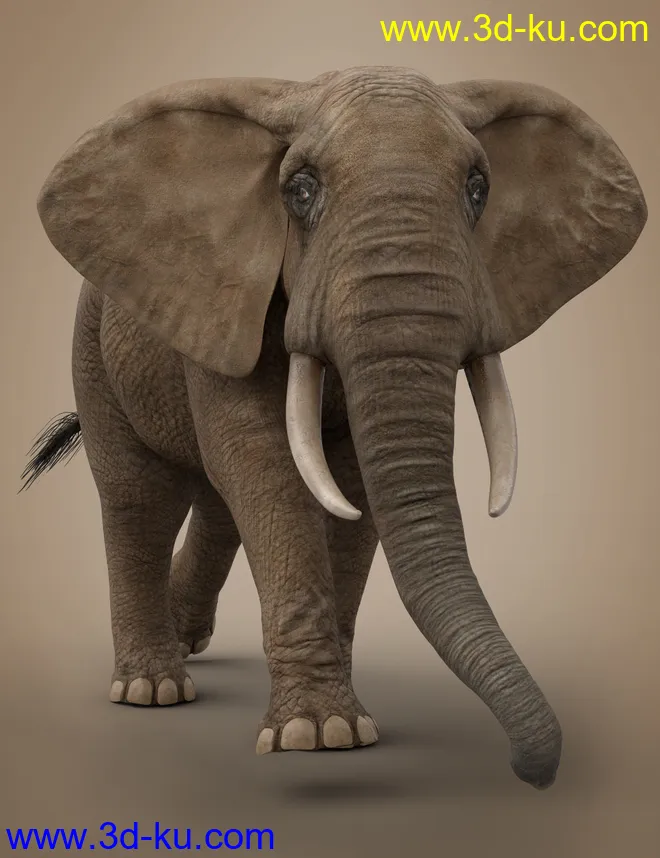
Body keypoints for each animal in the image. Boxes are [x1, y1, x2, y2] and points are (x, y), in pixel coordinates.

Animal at [23, 65, 647, 790]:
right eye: (300, 189)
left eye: (478, 189)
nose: (533, 772)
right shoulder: (229, 302)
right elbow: (263, 463)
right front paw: (315, 736)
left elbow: (348, 480)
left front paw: (347, 728)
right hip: (95, 348)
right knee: (141, 497)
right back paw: (152, 689)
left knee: (215, 502)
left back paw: (185, 641)